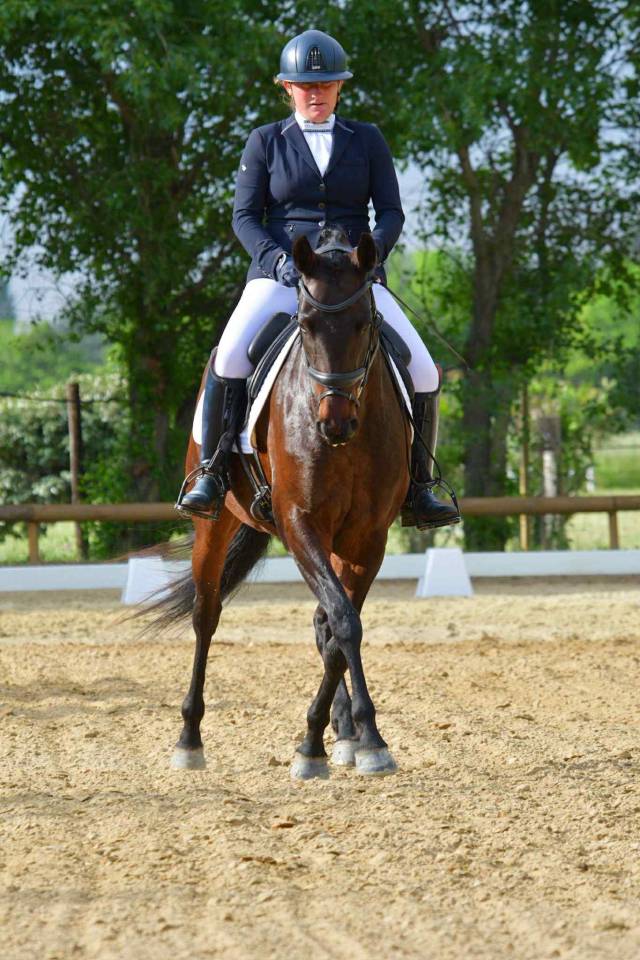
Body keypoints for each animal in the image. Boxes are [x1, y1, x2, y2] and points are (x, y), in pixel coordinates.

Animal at [156, 226, 411, 779]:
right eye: (307, 325)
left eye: (364, 323)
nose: (333, 423)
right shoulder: (300, 524)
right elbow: (343, 621)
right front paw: (347, 739)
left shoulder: (368, 538)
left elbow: (340, 627)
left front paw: (347, 738)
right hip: (214, 524)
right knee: (206, 615)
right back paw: (189, 739)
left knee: (321, 621)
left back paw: (343, 734)